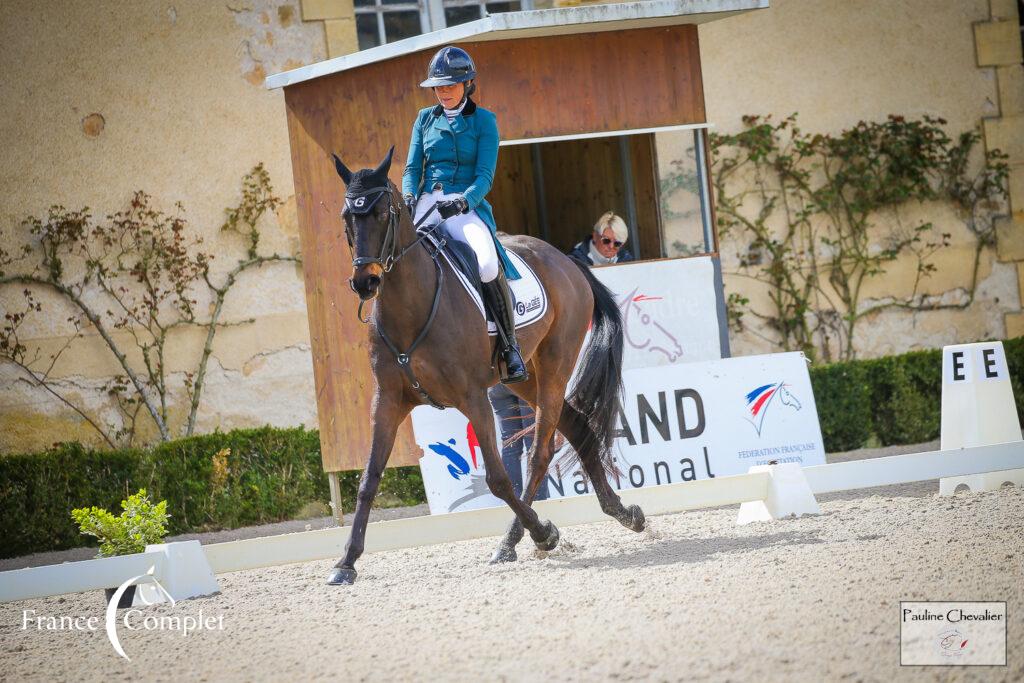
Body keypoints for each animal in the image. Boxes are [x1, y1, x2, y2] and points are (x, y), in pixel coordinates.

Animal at [329, 149, 647, 589]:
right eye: (348, 216)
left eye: (380, 214)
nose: (365, 282)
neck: (411, 304)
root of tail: (565, 260)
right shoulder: (389, 400)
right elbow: (368, 480)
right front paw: (346, 561)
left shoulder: (472, 397)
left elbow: (498, 478)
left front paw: (545, 532)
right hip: (525, 378)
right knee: (577, 426)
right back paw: (623, 513)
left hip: (554, 365)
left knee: (540, 453)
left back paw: (515, 540)